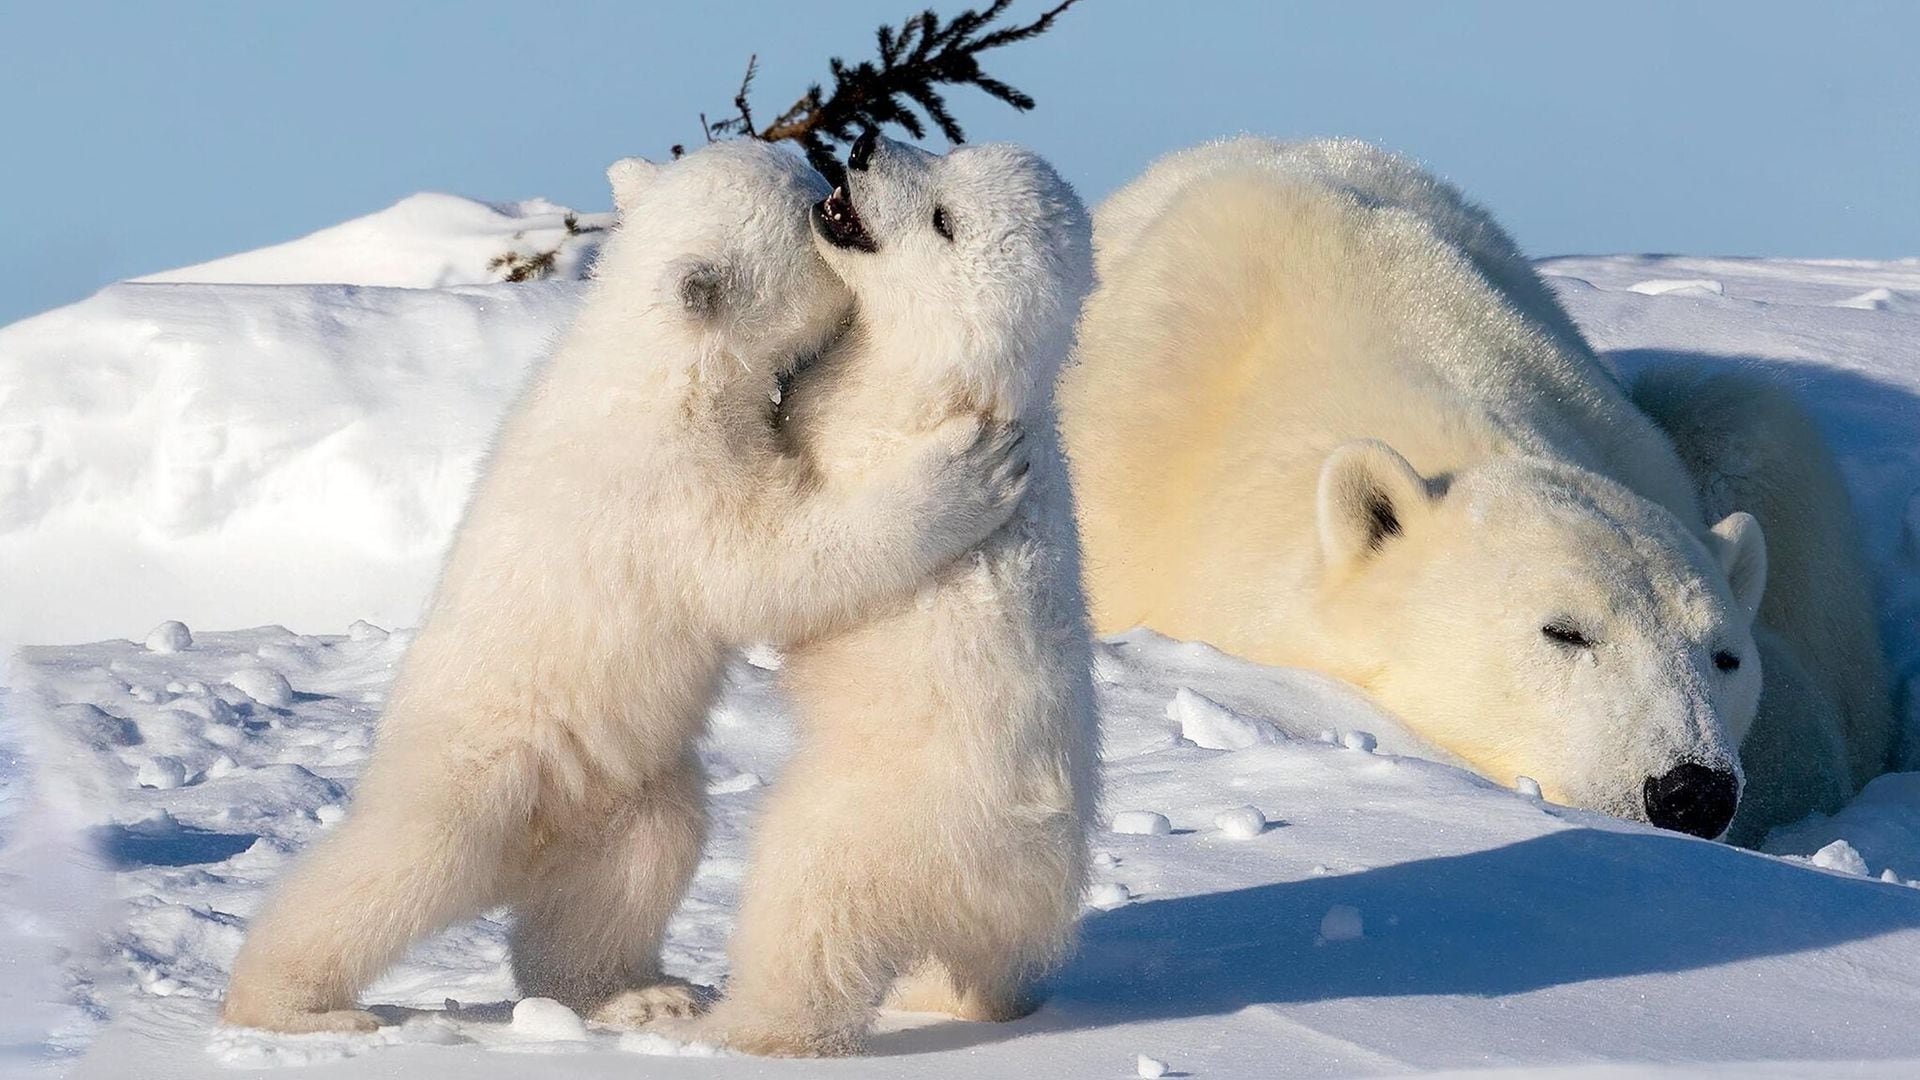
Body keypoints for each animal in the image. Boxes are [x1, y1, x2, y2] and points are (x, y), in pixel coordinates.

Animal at [222, 138, 1036, 1030]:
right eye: (802, 205)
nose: (833, 181)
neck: (653, 367)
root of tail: (529, 846)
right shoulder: (668, 485)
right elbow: (770, 567)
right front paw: (973, 470)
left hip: (619, 789)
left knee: (637, 863)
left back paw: (638, 994)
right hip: (476, 777)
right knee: (390, 867)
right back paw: (291, 1004)